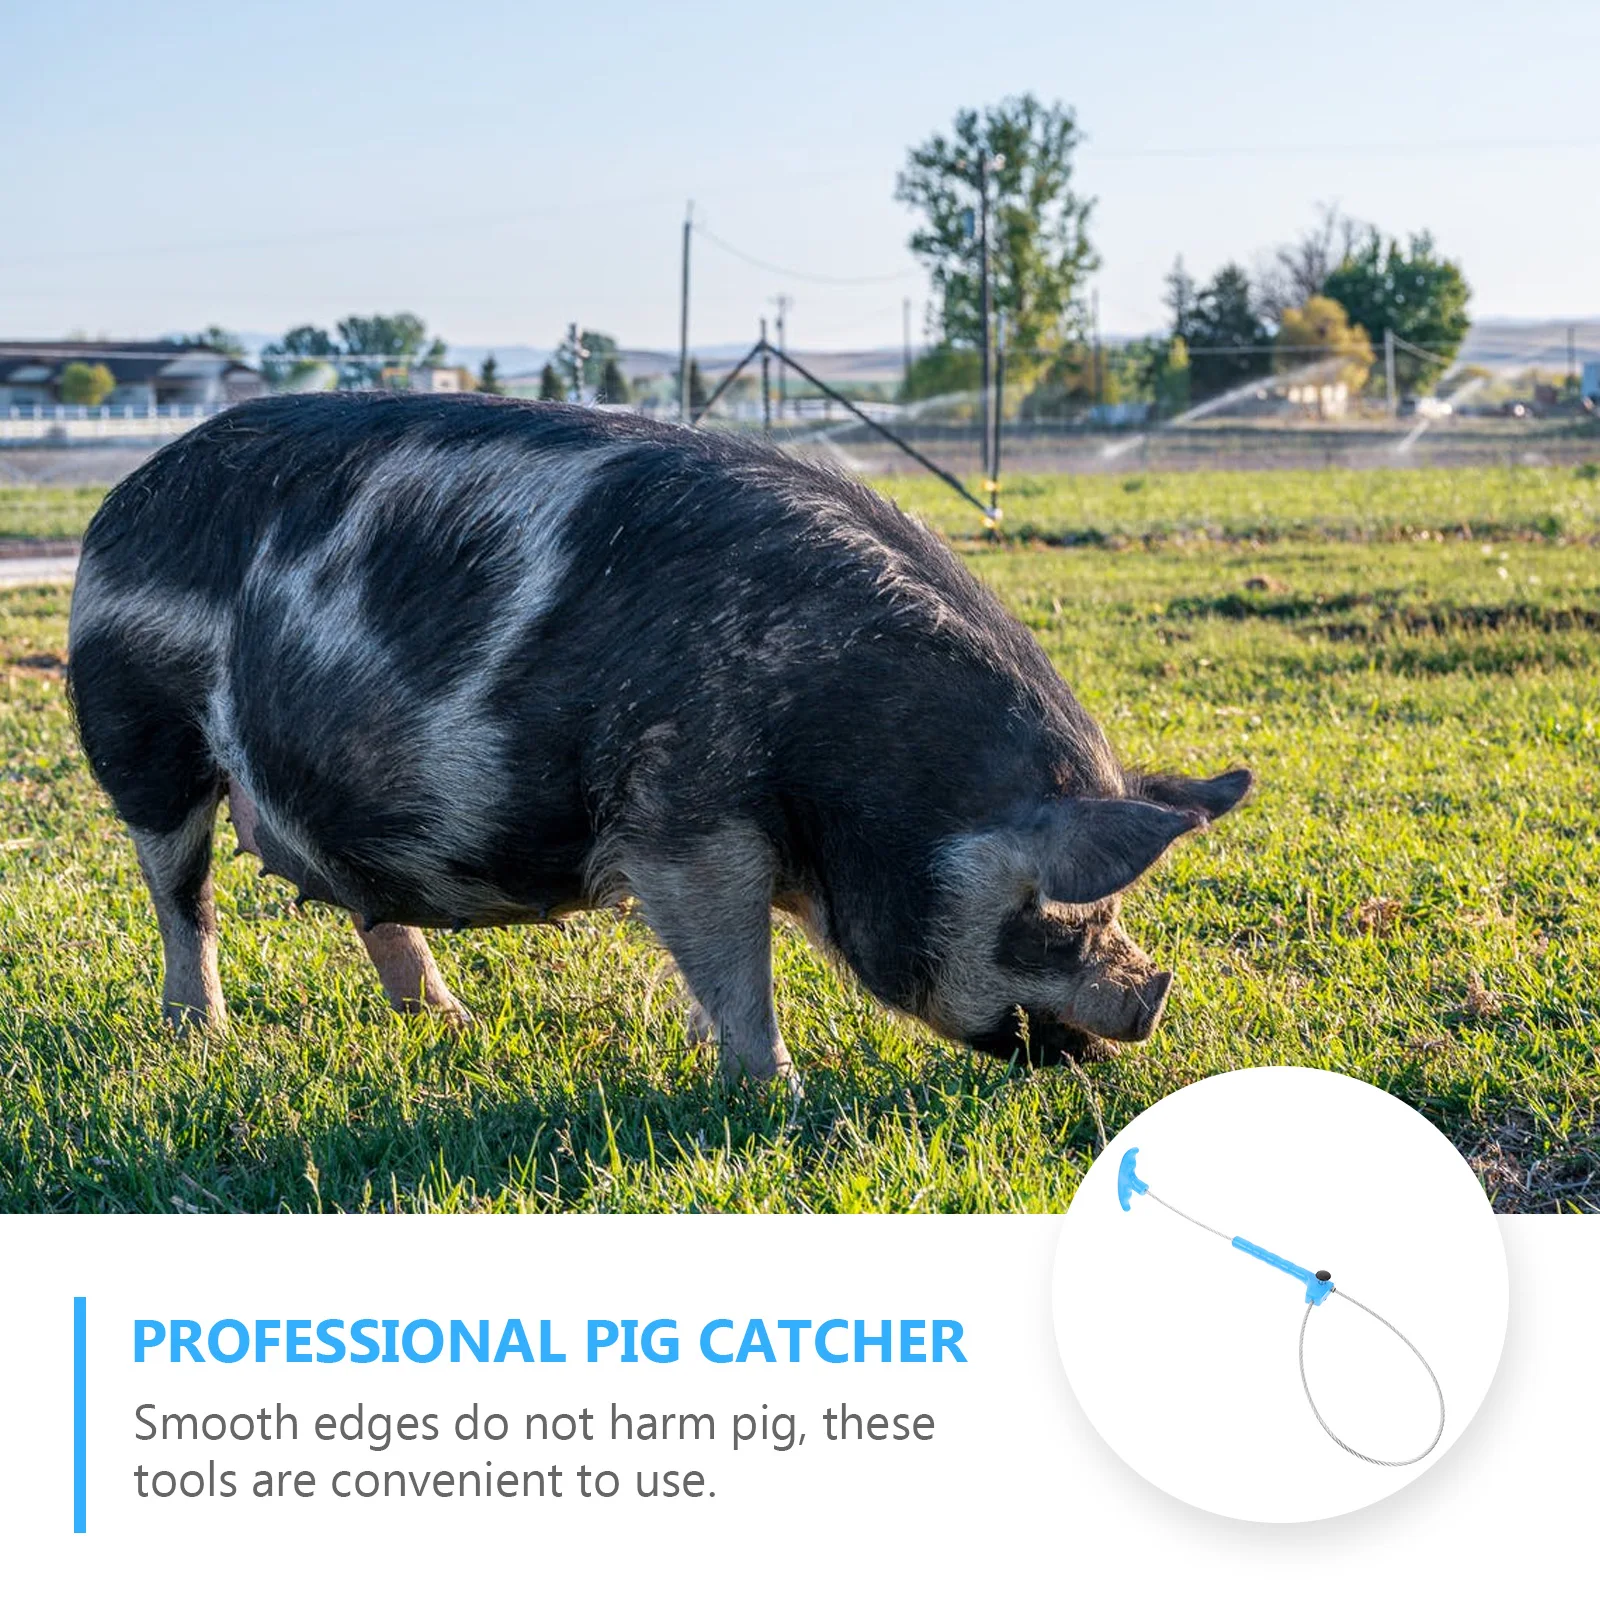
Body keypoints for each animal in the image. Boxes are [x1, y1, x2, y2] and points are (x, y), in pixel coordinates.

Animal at [67, 393, 1252, 1082]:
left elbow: (716, 970)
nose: (1148, 1007)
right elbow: (735, 964)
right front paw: (780, 1097)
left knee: (369, 908)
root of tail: (114, 506)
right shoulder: (681, 813)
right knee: (182, 895)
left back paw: (449, 1025)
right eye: (1055, 913)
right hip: (139, 731)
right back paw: (201, 1036)